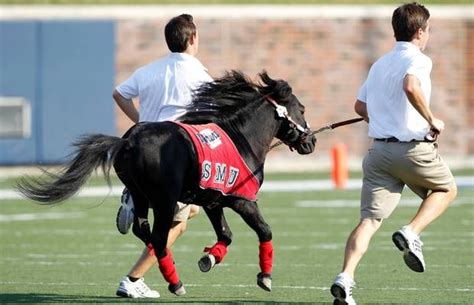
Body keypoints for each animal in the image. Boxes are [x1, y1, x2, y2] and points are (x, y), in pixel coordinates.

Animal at [17, 70, 314, 294]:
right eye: (301, 109)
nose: (311, 141)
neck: (241, 138)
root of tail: (129, 141)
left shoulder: (212, 200)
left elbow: (225, 235)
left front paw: (209, 257)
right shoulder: (243, 199)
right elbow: (265, 231)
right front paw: (265, 277)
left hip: (141, 195)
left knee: (143, 230)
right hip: (165, 200)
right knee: (159, 237)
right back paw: (175, 283)